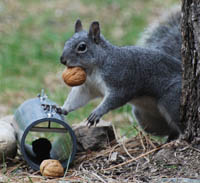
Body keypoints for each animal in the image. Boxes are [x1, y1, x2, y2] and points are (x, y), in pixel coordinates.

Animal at [59, 11, 183, 140]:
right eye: (66, 42)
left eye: (82, 47)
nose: (62, 60)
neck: (93, 69)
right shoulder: (88, 87)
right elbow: (77, 98)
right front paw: (62, 109)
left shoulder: (120, 79)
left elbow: (116, 98)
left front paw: (98, 112)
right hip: (146, 118)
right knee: (170, 129)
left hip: (172, 99)